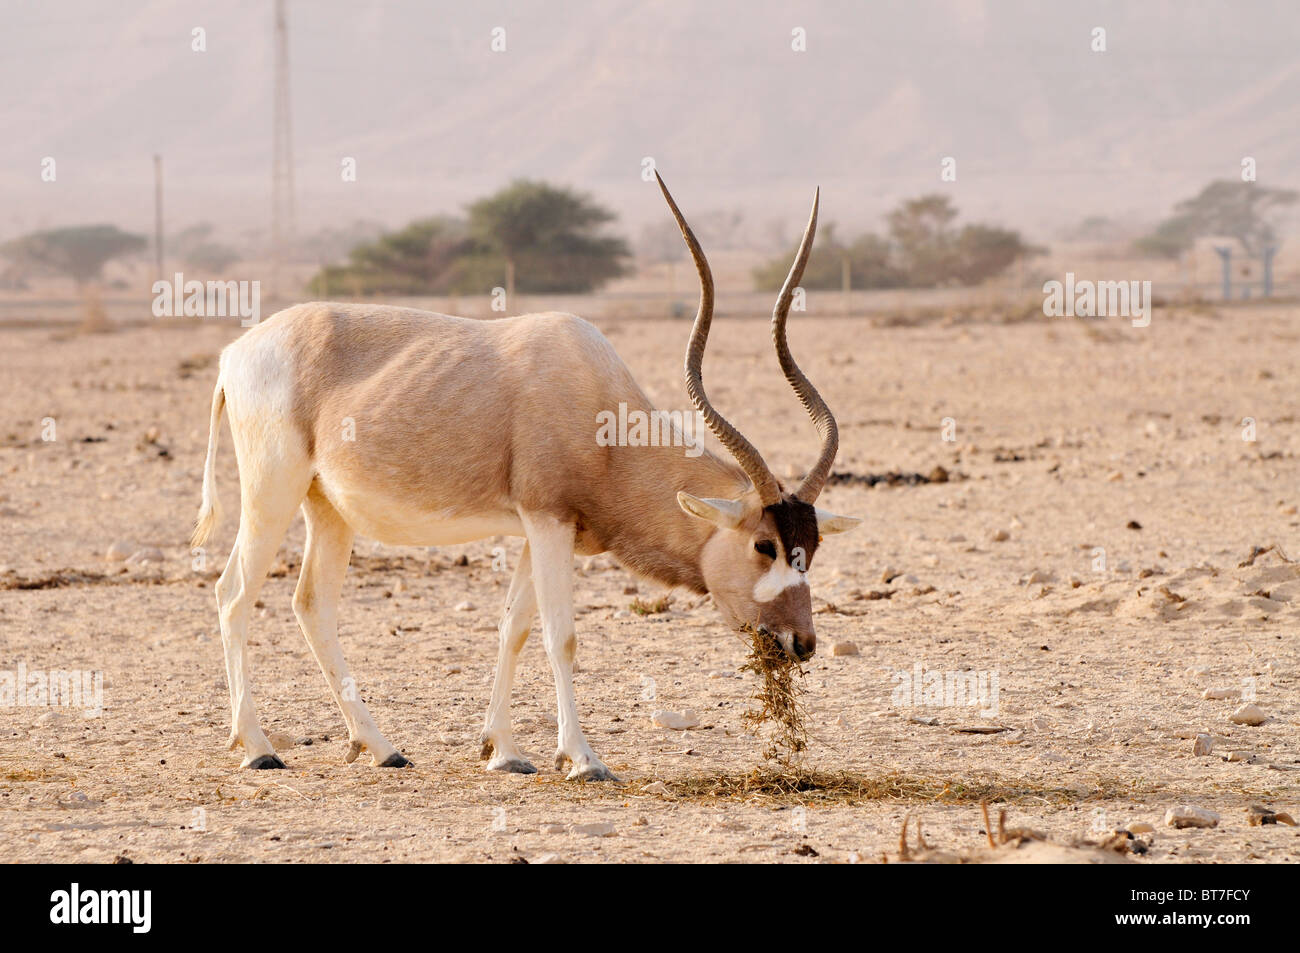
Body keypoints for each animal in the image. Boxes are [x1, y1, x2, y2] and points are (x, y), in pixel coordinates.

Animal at [192, 172, 857, 780]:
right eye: (764, 545)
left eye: (813, 548)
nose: (801, 643)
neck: (603, 420)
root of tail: (235, 355)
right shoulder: (547, 520)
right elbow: (561, 635)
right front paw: (583, 758)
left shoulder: (540, 531)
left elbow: (513, 626)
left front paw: (504, 751)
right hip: (272, 493)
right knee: (233, 593)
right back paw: (258, 748)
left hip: (327, 508)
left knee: (312, 603)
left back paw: (381, 748)